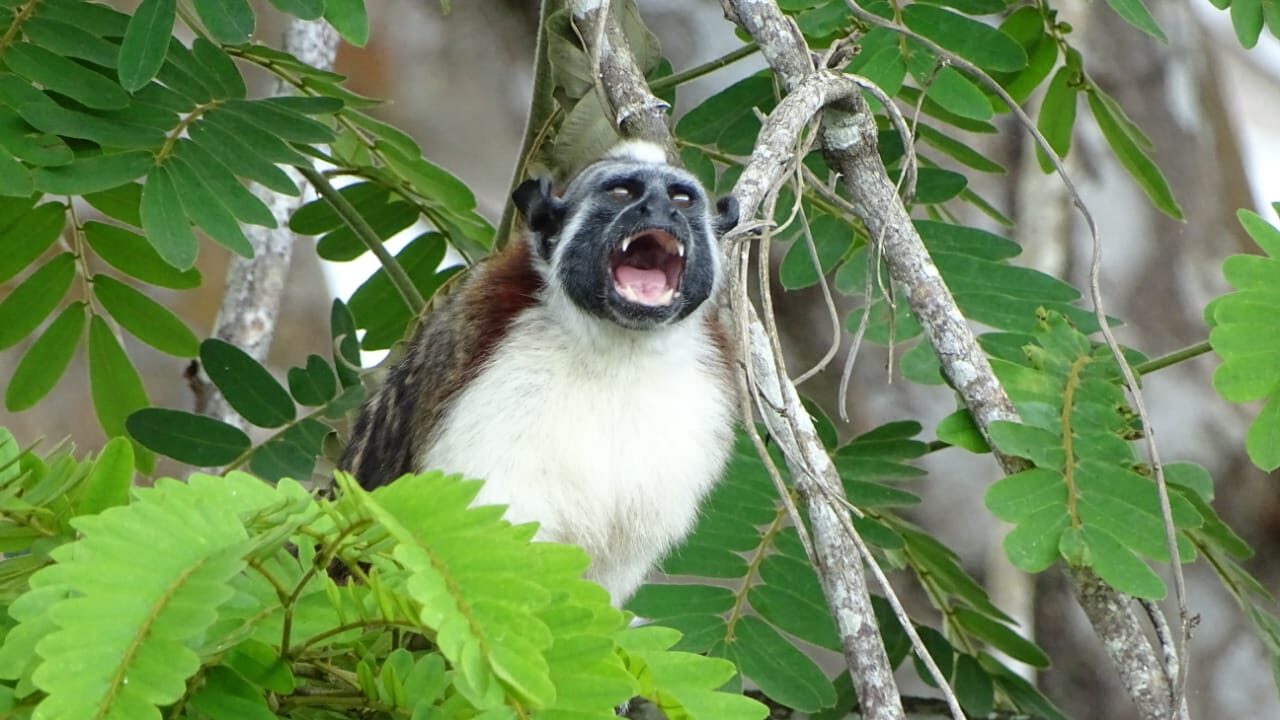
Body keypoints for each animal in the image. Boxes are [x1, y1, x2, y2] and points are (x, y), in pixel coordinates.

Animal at [339, 140, 741, 605]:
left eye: (681, 200)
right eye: (622, 192)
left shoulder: (701, 397)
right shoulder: (498, 372)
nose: (660, 210)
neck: (618, 350)